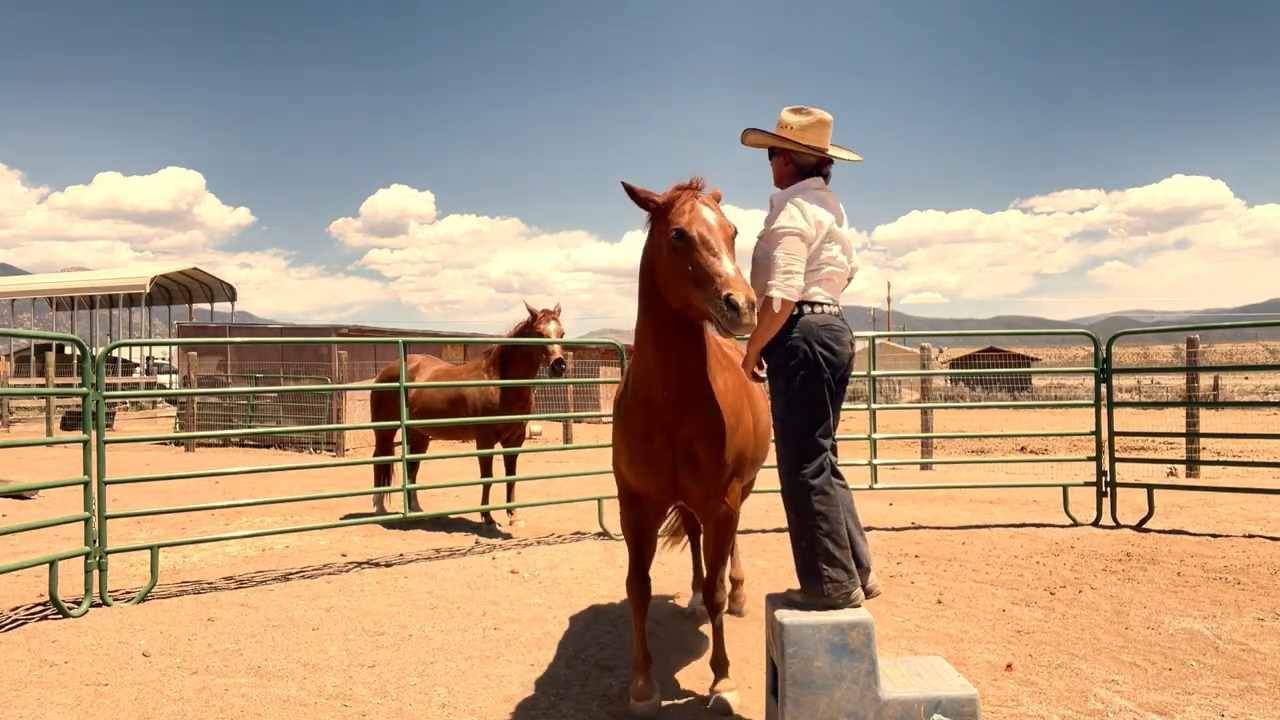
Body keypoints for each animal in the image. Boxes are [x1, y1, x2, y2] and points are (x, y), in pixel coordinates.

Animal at [368, 301, 568, 531]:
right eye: (539, 333)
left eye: (562, 333)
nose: (559, 366)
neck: (499, 382)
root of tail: (386, 370)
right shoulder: (485, 440)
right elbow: (487, 477)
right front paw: (487, 518)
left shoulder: (515, 440)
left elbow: (511, 476)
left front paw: (514, 516)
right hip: (385, 431)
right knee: (380, 460)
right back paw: (379, 508)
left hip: (418, 434)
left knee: (412, 468)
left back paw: (416, 511)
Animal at [611, 177, 773, 717]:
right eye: (677, 234)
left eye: (733, 231)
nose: (743, 305)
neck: (671, 401)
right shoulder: (635, 506)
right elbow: (638, 588)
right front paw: (642, 684)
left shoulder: (723, 501)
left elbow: (718, 589)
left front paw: (722, 681)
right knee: (698, 544)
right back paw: (693, 599)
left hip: (739, 492)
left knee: (726, 560)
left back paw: (737, 595)